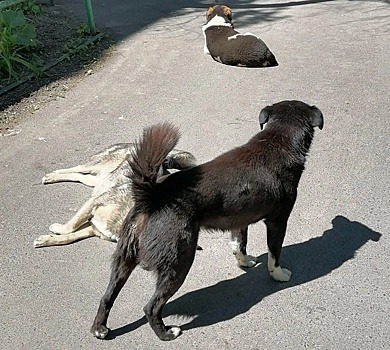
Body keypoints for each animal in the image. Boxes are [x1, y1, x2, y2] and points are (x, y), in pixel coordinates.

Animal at [90, 100, 322, 340]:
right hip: (179, 261)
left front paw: (244, 261)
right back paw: (166, 333)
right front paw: (278, 274)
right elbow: (274, 255)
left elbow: (239, 244)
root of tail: (152, 197)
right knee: (151, 307)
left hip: (124, 260)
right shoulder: (278, 222)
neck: (278, 139)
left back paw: (100, 328)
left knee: (107, 296)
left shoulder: (239, 220)